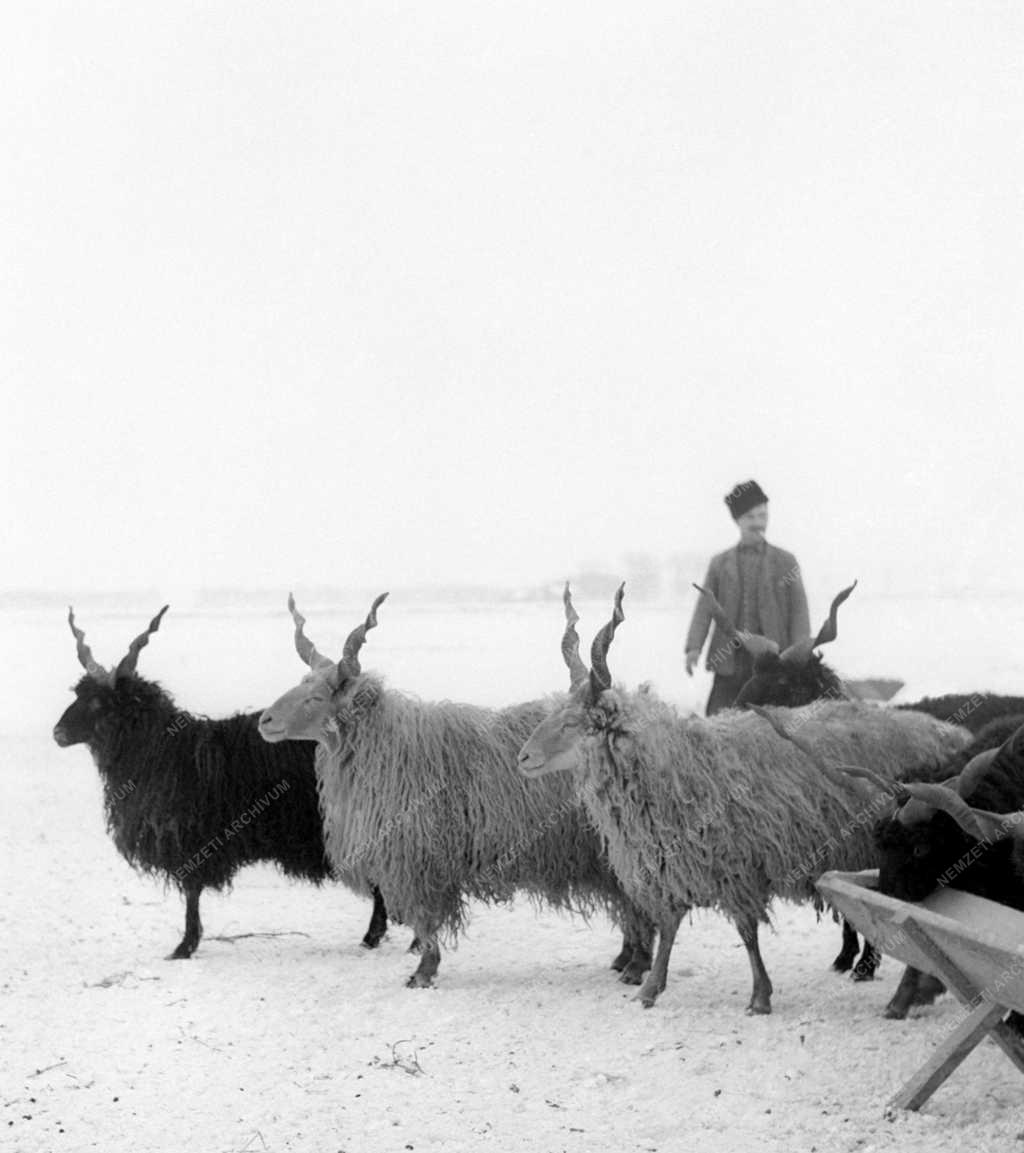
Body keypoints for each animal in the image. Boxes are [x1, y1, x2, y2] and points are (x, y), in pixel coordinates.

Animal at [53, 608, 387, 959]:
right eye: (79, 695)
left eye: (99, 703)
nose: (57, 733)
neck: (165, 751)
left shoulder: (192, 840)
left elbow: (191, 892)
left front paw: (185, 946)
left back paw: (373, 936)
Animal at [256, 594, 654, 991]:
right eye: (302, 684)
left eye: (317, 697)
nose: (265, 721)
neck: (390, 747)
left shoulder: (418, 862)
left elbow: (426, 924)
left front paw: (423, 973)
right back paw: (625, 960)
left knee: (638, 904)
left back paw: (636, 966)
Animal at [518, 590, 968, 1014]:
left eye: (573, 722)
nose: (523, 757)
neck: (679, 766)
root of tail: (947, 732)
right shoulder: (676, 860)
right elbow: (671, 926)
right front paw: (651, 988)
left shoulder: (736, 866)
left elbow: (747, 933)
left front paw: (760, 997)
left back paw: (896, 988)